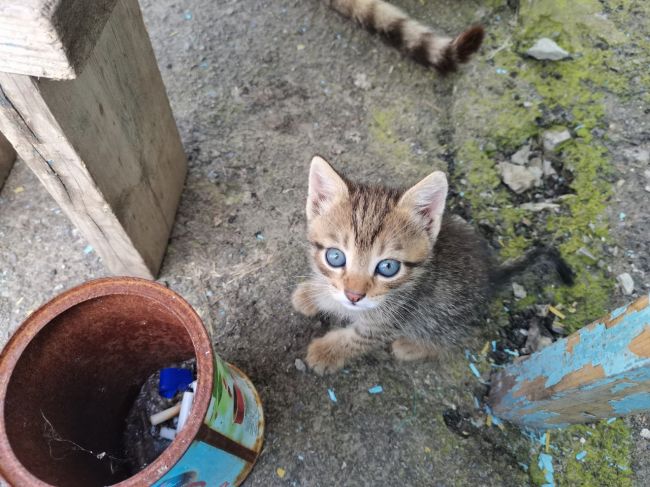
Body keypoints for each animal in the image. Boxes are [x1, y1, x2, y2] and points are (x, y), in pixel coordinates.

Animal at [292, 156, 568, 374]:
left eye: (388, 267)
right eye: (335, 257)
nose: (354, 295)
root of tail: (492, 275)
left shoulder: (393, 319)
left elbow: (358, 339)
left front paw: (327, 352)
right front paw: (312, 294)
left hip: (442, 317)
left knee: (450, 338)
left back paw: (412, 346)